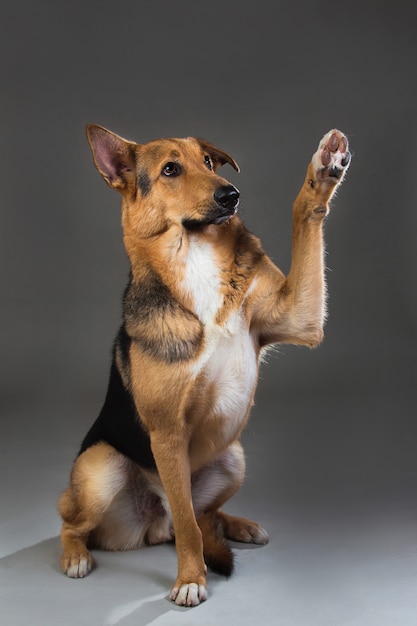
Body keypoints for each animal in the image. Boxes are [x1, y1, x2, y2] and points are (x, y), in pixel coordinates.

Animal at [58, 123, 350, 604]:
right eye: (170, 170)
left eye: (210, 162)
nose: (231, 195)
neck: (193, 254)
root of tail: (154, 525)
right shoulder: (167, 434)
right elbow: (188, 526)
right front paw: (191, 578)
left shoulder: (301, 317)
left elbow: (304, 215)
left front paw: (325, 168)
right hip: (101, 466)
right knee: (83, 519)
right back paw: (75, 555)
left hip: (234, 455)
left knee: (205, 513)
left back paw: (240, 526)